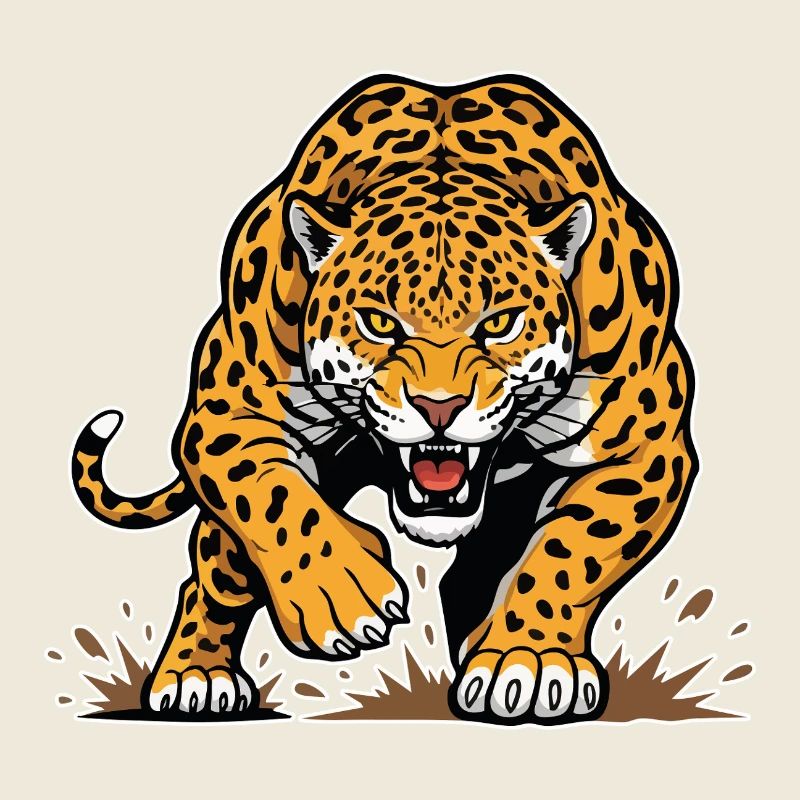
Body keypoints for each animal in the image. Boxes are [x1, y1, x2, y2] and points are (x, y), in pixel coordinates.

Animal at [72, 74, 697, 724]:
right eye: (378, 323)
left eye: (500, 324)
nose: (439, 406)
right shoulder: (227, 417)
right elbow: (274, 501)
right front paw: (342, 596)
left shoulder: (646, 454)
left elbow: (571, 553)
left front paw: (525, 661)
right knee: (215, 569)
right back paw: (197, 676)